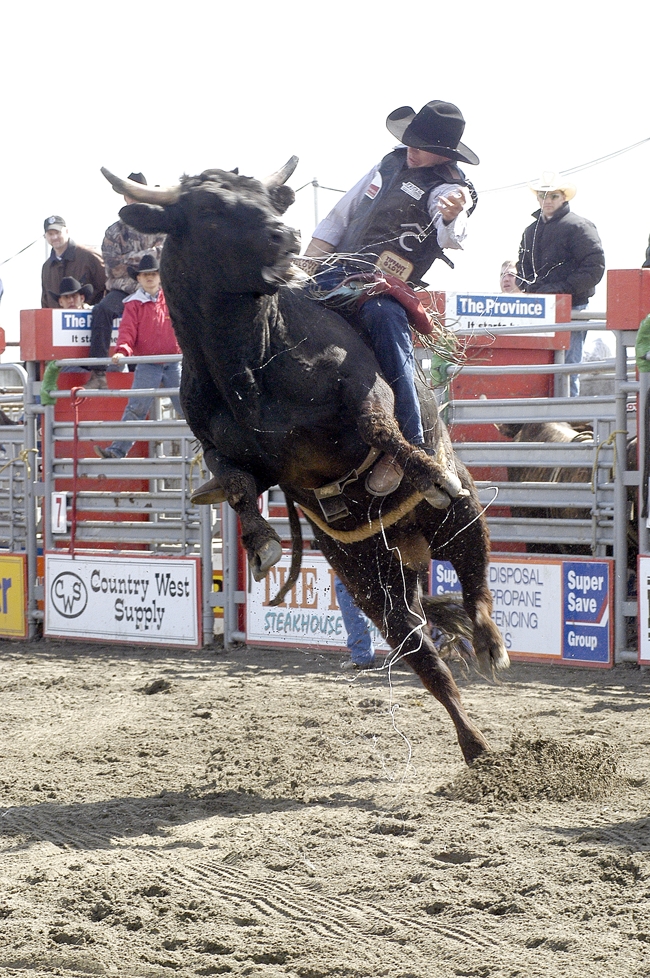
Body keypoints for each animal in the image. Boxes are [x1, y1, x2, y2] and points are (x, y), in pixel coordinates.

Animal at [100, 158, 506, 764]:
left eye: (271, 201)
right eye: (209, 208)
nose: (284, 235)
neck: (252, 362)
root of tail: (411, 544)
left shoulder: (361, 386)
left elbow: (378, 424)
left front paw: (424, 472)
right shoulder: (222, 451)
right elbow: (236, 483)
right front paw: (263, 543)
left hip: (462, 520)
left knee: (477, 588)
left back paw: (489, 643)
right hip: (373, 581)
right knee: (427, 659)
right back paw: (475, 744)